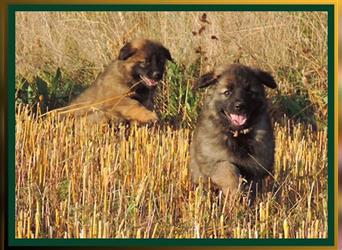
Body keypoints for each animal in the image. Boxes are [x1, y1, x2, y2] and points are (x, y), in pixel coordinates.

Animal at [190, 63, 278, 196]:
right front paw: (235, 193)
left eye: (250, 92)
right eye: (227, 92)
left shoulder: (257, 167)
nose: (240, 106)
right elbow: (228, 170)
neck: (237, 134)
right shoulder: (213, 162)